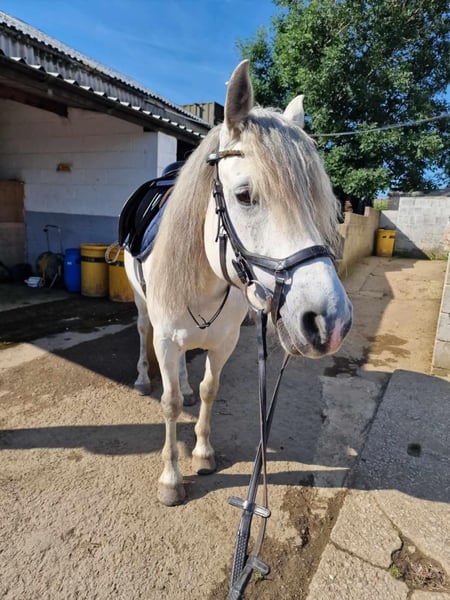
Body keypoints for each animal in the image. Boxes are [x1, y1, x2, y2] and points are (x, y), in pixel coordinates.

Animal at [124, 60, 353, 506]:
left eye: (317, 199)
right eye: (245, 195)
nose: (330, 322)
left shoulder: (224, 341)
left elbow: (209, 389)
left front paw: (202, 452)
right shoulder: (165, 338)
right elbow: (169, 403)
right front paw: (171, 478)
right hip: (144, 311)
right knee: (142, 334)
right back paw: (142, 379)